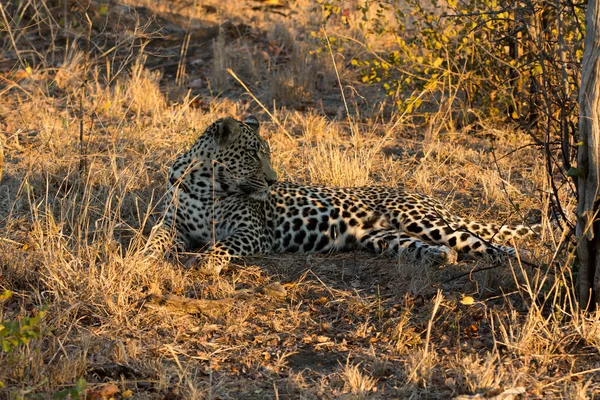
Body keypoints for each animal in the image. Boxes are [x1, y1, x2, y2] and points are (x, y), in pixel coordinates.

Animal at [144, 115, 540, 276]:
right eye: (254, 155)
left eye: (266, 153)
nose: (274, 180)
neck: (205, 185)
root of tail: (429, 198)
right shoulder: (173, 224)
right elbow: (155, 237)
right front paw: (143, 255)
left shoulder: (253, 232)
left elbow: (223, 244)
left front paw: (207, 262)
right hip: (382, 237)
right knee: (439, 247)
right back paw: (441, 258)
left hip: (421, 219)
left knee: (485, 242)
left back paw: (521, 262)